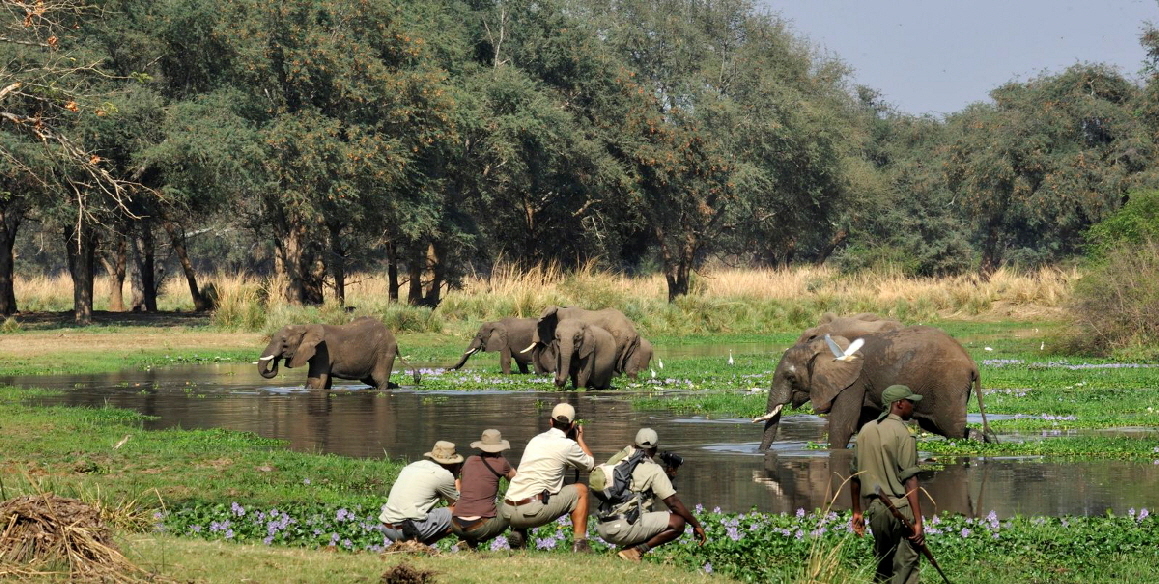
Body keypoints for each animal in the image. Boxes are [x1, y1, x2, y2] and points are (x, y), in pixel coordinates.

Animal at [256, 317, 419, 389]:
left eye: (284, 342)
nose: (277, 359)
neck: (305, 326)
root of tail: (394, 339)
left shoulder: (322, 352)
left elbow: (315, 383)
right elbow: (325, 383)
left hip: (384, 352)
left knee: (379, 380)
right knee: (371, 380)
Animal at [760, 326, 996, 449]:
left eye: (790, 377)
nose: (760, 452)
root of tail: (972, 363)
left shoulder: (854, 382)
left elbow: (843, 425)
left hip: (949, 384)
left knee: (949, 427)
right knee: (937, 425)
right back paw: (981, 440)